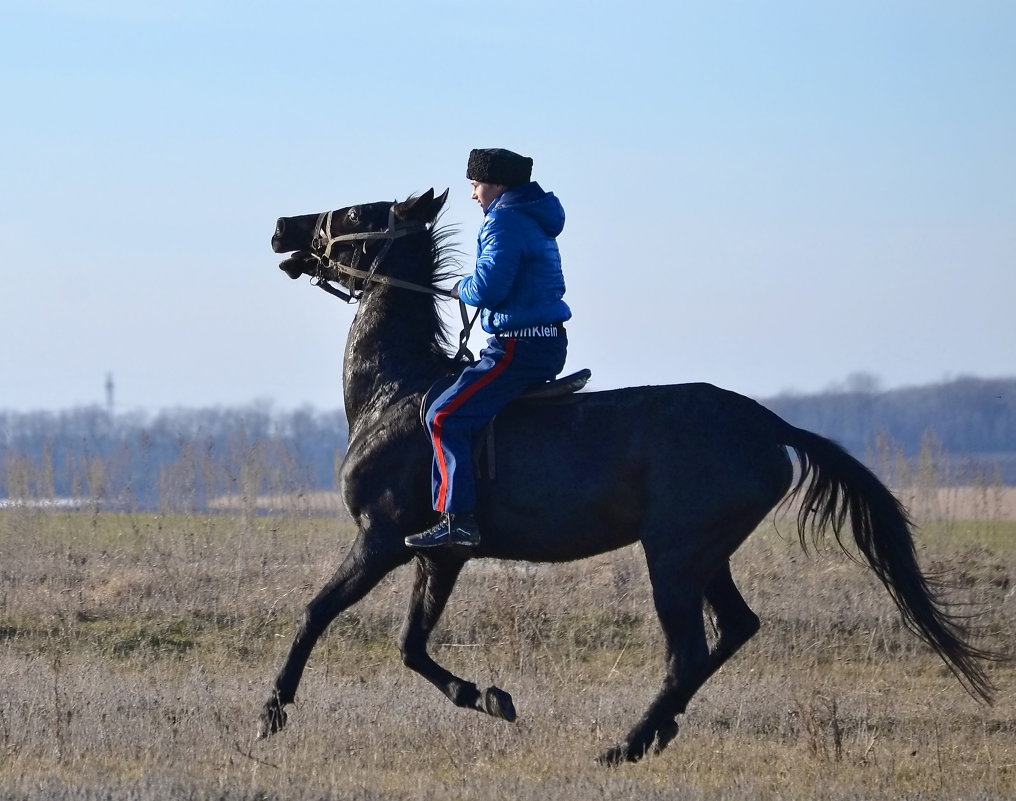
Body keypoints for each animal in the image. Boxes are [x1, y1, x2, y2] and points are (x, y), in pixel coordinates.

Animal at [258, 186, 995, 764]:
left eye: (357, 210)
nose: (284, 227)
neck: (397, 391)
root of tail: (769, 425)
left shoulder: (381, 537)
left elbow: (317, 610)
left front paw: (272, 709)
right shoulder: (439, 553)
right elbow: (412, 644)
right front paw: (490, 697)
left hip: (673, 556)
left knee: (689, 649)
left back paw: (626, 743)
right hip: (702, 555)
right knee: (736, 628)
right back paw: (656, 731)